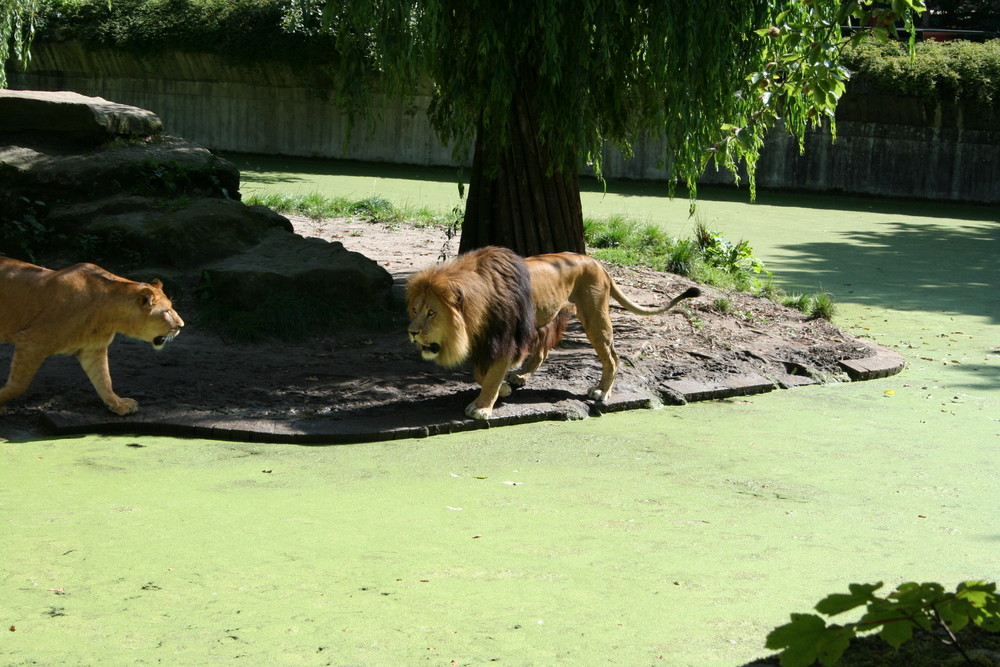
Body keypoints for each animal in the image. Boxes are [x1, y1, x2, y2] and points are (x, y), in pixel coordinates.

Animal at [0, 258, 185, 414]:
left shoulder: (93, 349)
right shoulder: (32, 340)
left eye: (171, 307)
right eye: (166, 311)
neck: (109, 315)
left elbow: (104, 380)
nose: (181, 326)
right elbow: (18, 385)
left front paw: (118, 404)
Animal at [404, 248, 696, 420]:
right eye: (415, 309)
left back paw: (602, 391)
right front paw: (504, 388)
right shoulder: (484, 340)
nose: (412, 332)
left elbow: (492, 374)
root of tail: (596, 262)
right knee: (542, 353)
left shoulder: (506, 339)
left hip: (595, 317)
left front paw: (482, 406)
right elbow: (481, 373)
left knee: (612, 357)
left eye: (432, 313)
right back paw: (520, 377)